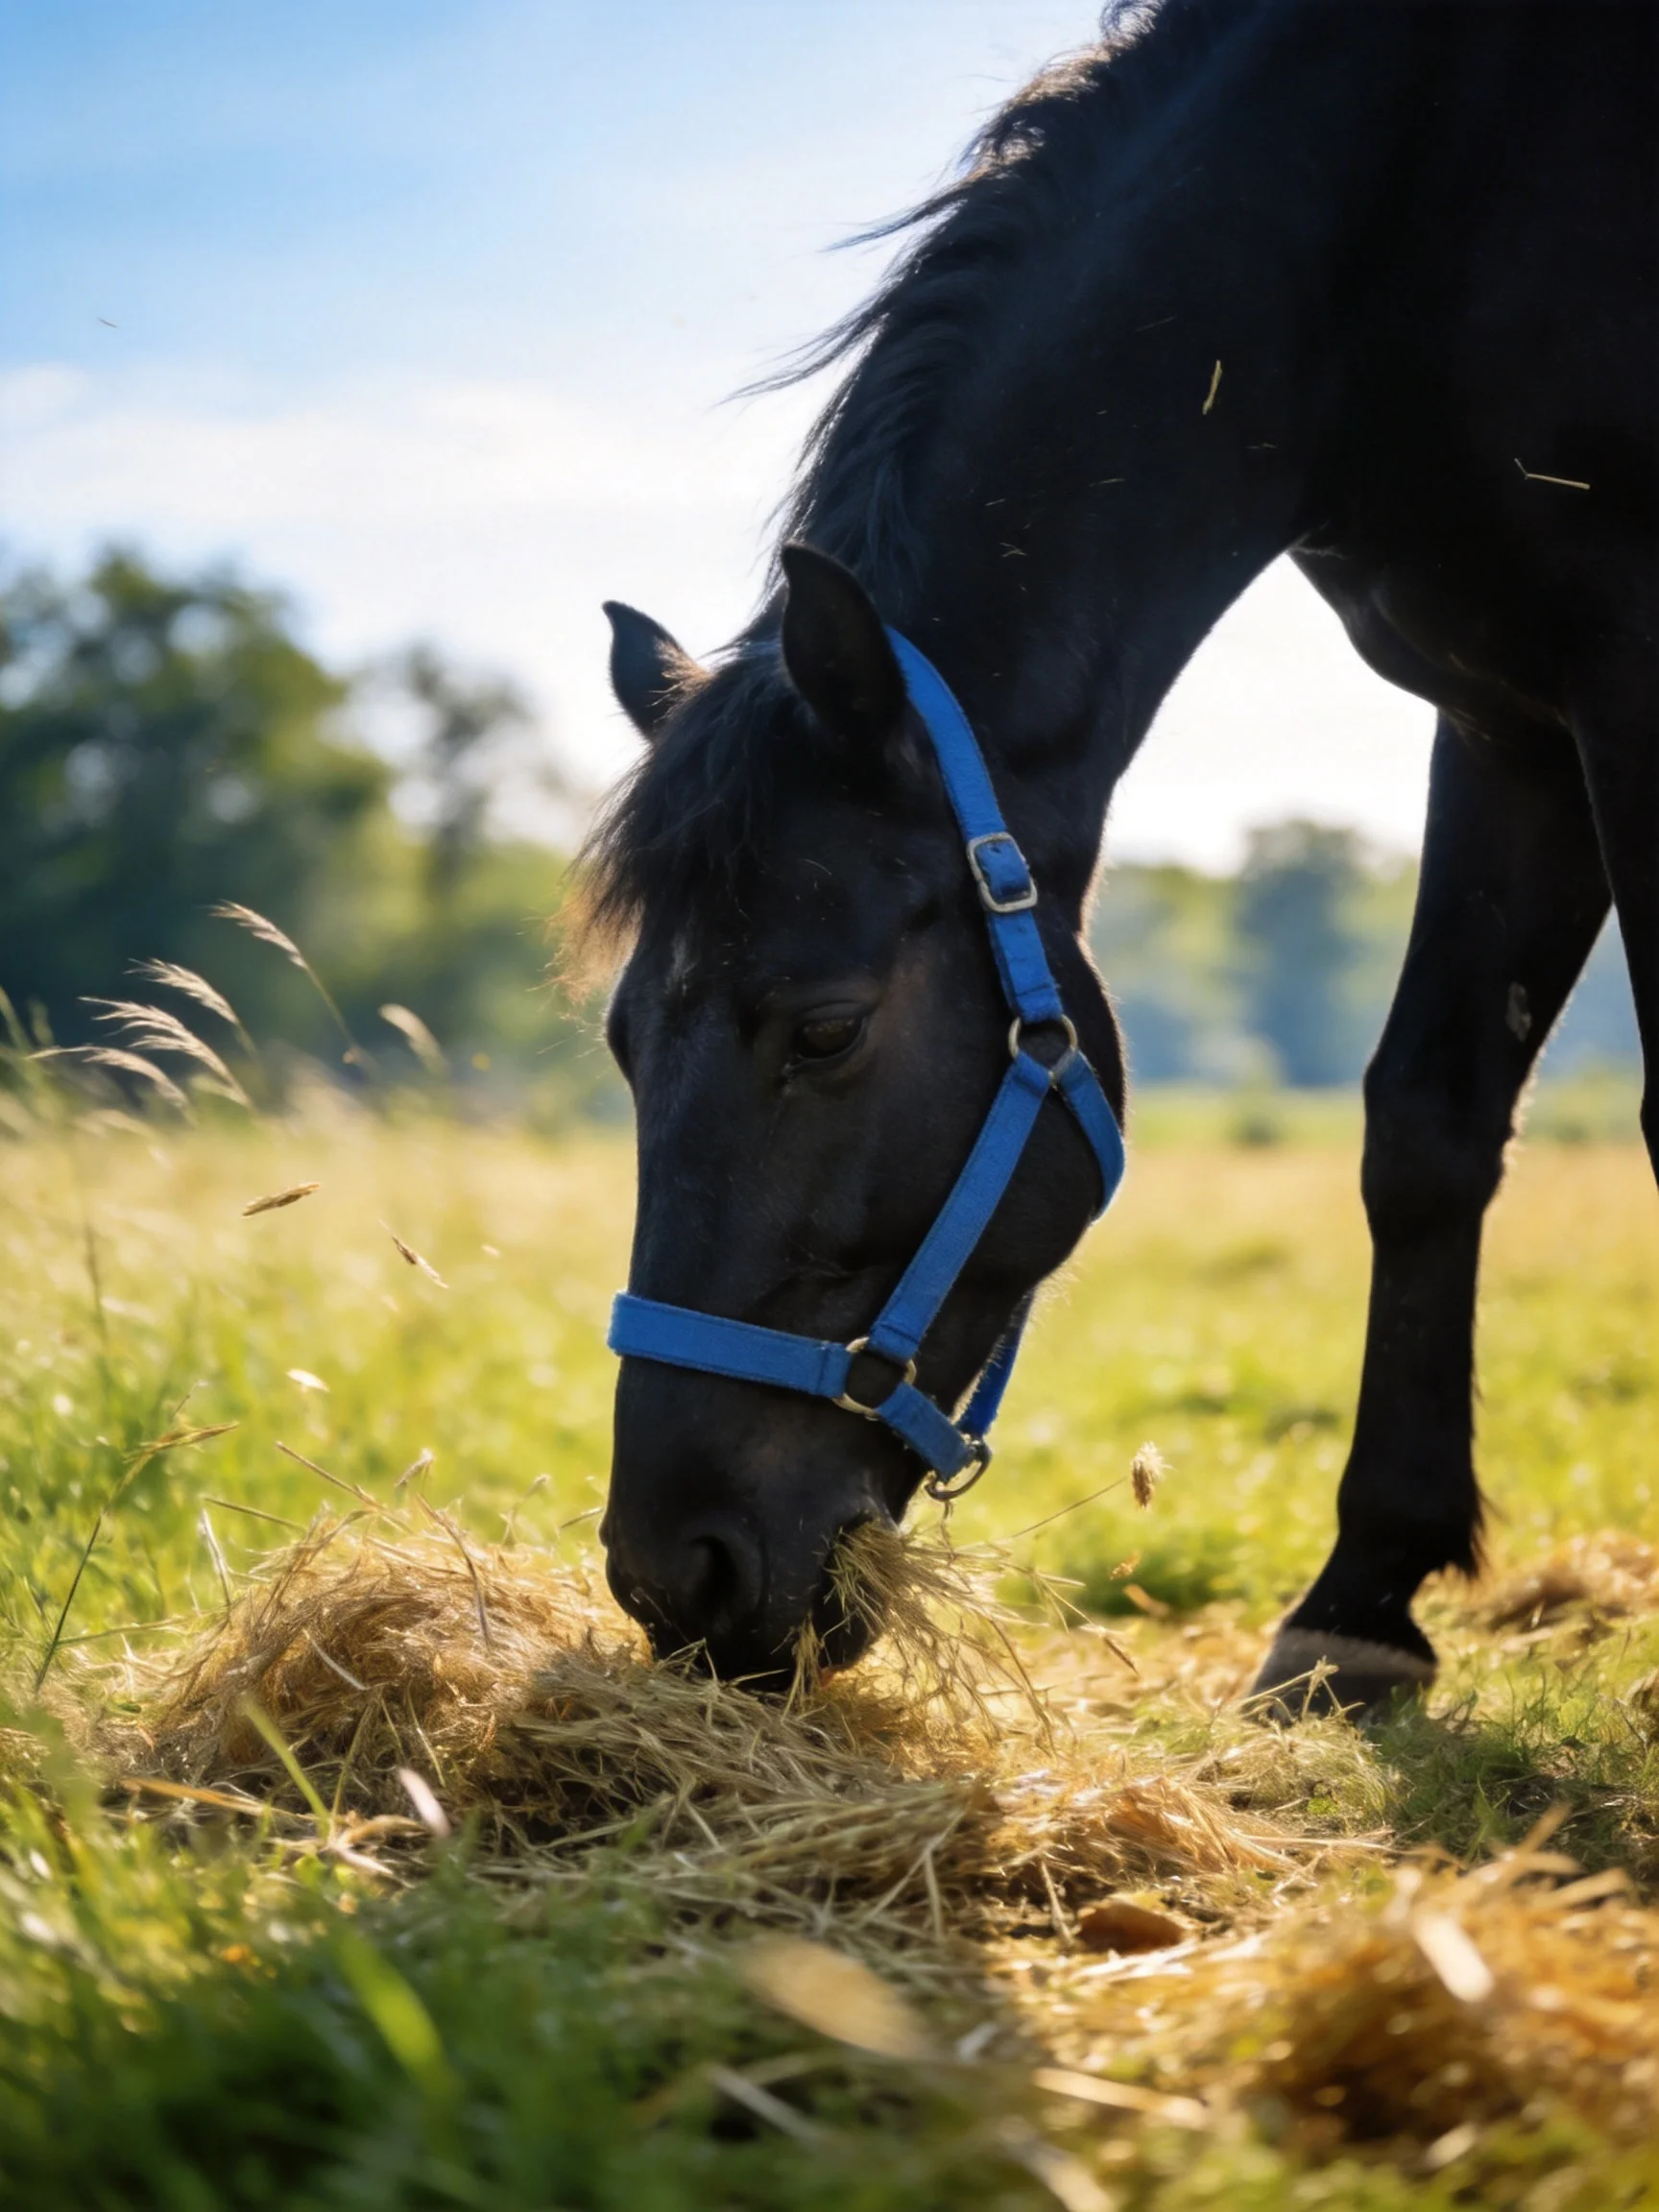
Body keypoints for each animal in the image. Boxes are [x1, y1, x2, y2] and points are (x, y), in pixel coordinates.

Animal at [582, 0, 1657, 1707]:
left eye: (824, 1031)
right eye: (623, 1040)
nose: (673, 1578)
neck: (1392, 205)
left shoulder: (1629, 672)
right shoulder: (1508, 721)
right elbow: (1426, 1131)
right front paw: (1360, 1602)